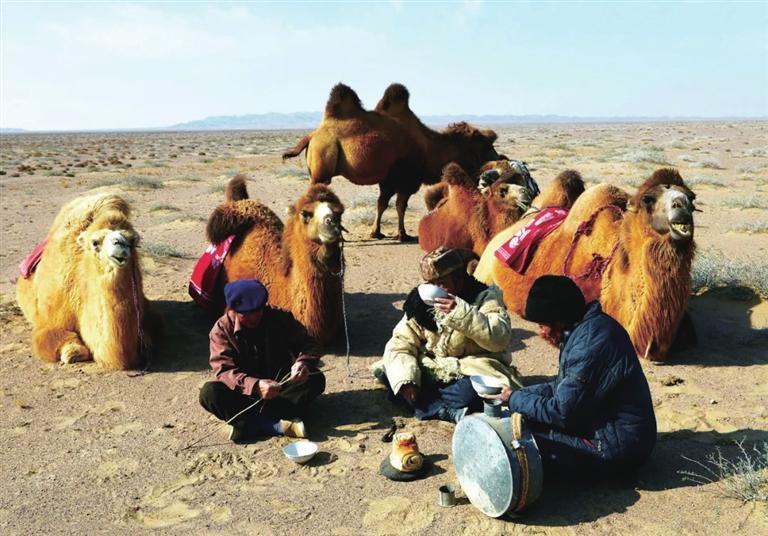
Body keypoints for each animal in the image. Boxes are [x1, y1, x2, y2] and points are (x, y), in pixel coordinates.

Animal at [16, 193, 159, 368]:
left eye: (132, 241)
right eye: (95, 242)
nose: (120, 245)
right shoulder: (48, 321)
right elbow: (50, 340)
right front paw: (73, 352)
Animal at [284, 82, 500, 241]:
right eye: (484, 145)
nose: (500, 158)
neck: (429, 147)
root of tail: (312, 135)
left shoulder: (388, 179)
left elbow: (382, 203)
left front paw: (377, 232)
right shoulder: (404, 178)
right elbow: (399, 205)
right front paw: (403, 235)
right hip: (323, 161)